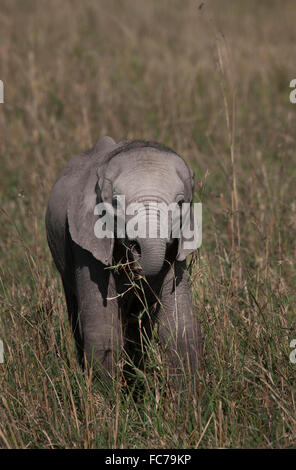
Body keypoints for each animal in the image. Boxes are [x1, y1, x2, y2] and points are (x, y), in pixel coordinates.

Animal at [46, 138, 202, 392]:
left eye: (180, 204)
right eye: (116, 203)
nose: (136, 251)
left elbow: (179, 328)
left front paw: (190, 401)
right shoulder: (87, 242)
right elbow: (103, 331)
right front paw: (107, 401)